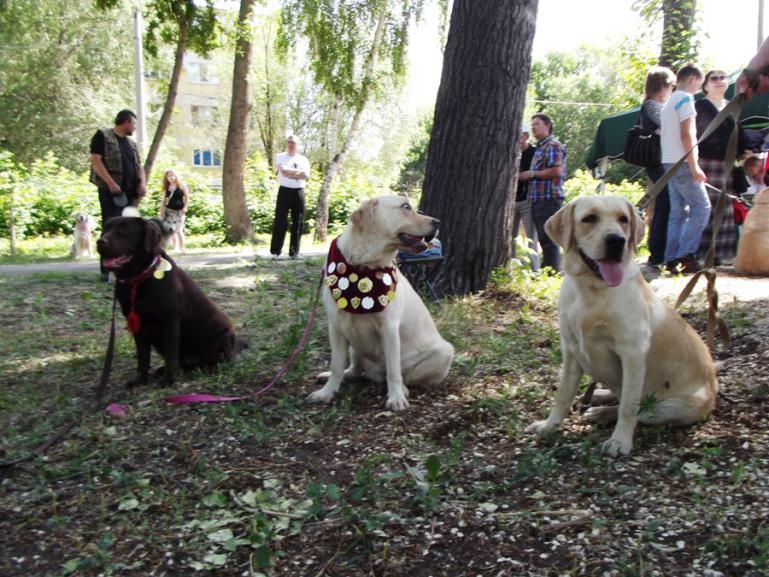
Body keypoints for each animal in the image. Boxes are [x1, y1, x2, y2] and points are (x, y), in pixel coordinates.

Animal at [97, 216, 240, 387]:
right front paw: (141, 380)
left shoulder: (170, 321)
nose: (100, 241)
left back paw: (209, 367)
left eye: (125, 230)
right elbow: (142, 358)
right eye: (105, 229)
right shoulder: (138, 325)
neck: (139, 279)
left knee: (221, 359)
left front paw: (169, 381)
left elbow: (171, 355)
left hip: (221, 334)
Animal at [307, 195, 454, 411]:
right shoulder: (335, 326)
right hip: (355, 348)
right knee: (354, 369)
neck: (363, 265)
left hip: (445, 351)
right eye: (406, 207)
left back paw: (403, 389)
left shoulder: (389, 328)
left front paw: (396, 398)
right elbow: (336, 365)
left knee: (402, 375)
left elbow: (394, 370)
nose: (438, 222)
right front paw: (327, 392)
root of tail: (375, 375)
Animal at [526, 196, 717, 457]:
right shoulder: (571, 350)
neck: (592, 290)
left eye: (623, 219)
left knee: (638, 409)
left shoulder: (632, 353)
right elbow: (563, 394)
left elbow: (628, 406)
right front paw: (549, 425)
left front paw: (619, 441)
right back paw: (598, 396)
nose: (617, 240)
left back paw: (602, 412)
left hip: (673, 406)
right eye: (589, 218)